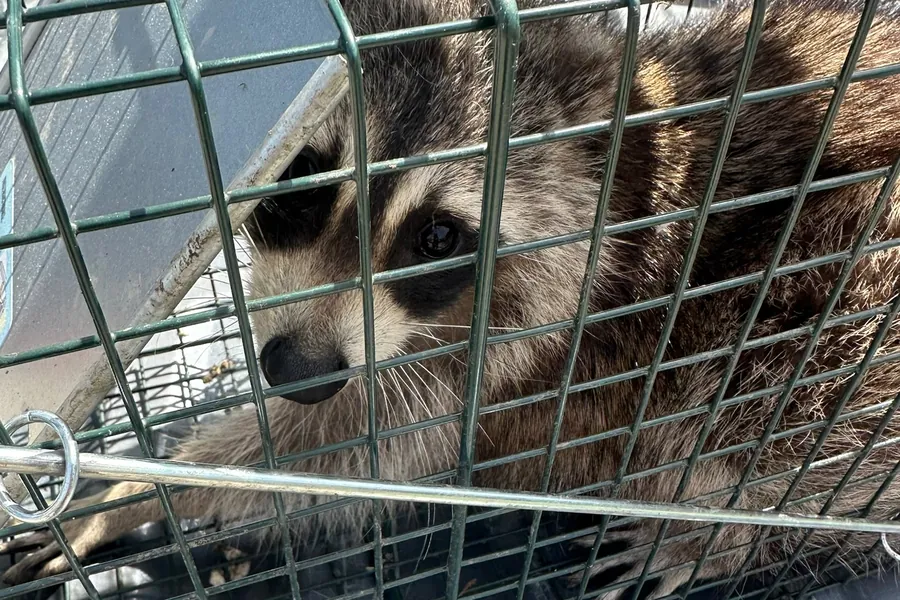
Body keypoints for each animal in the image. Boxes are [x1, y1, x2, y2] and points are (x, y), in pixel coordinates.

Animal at [4, 1, 900, 598]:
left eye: (438, 236)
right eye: (300, 179)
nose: (299, 369)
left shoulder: (533, 357)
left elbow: (342, 456)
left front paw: (128, 493)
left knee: (761, 428)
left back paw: (704, 539)